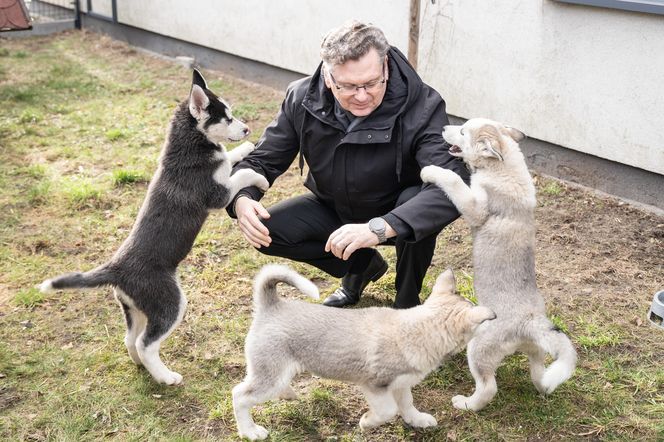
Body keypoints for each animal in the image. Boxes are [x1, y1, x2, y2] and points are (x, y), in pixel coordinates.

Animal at [38, 68, 268, 384]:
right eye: (227, 118)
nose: (247, 130)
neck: (188, 144)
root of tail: (116, 268)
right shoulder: (217, 194)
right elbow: (240, 174)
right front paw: (260, 178)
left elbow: (230, 159)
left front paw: (244, 148)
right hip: (169, 303)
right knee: (145, 343)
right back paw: (166, 377)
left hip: (134, 307)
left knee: (130, 340)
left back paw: (142, 367)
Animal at [231, 262, 496, 438]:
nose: (499, 320)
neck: (417, 329)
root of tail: (271, 306)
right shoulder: (375, 386)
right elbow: (388, 411)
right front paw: (367, 422)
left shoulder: (401, 384)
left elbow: (407, 404)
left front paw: (417, 420)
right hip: (268, 376)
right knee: (240, 395)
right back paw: (250, 431)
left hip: (275, 372)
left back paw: (288, 394)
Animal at [422, 116, 580, 410]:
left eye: (462, 131)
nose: (443, 128)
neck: (503, 166)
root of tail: (530, 321)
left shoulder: (474, 206)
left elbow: (453, 179)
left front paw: (429, 171)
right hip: (537, 352)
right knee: (541, 376)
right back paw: (544, 389)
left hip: (478, 349)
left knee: (488, 388)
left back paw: (465, 404)